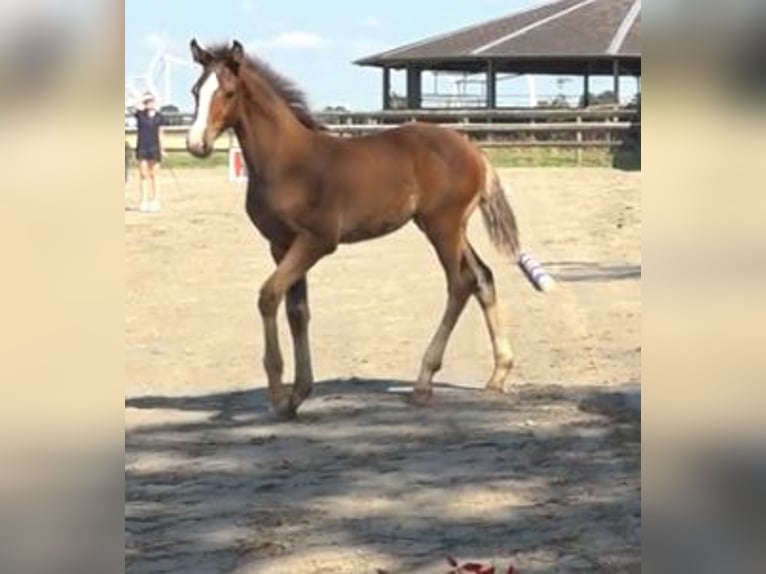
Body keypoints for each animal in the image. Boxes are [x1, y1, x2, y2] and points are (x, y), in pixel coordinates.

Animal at [188, 39, 532, 418]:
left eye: (229, 92)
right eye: (195, 92)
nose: (196, 144)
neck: (287, 162)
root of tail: (474, 151)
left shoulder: (317, 241)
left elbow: (268, 296)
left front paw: (278, 396)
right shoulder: (280, 244)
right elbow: (297, 311)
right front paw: (298, 393)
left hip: (442, 227)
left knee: (460, 284)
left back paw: (424, 381)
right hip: (451, 227)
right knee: (482, 277)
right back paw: (499, 373)